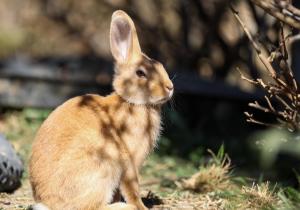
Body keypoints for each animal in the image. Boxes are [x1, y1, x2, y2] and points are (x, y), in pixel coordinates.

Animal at [28, 9, 173, 210]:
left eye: (160, 65)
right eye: (140, 73)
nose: (170, 87)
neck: (132, 103)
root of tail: (49, 203)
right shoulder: (129, 162)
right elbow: (132, 188)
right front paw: (140, 207)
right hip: (104, 163)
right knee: (92, 206)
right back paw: (123, 207)